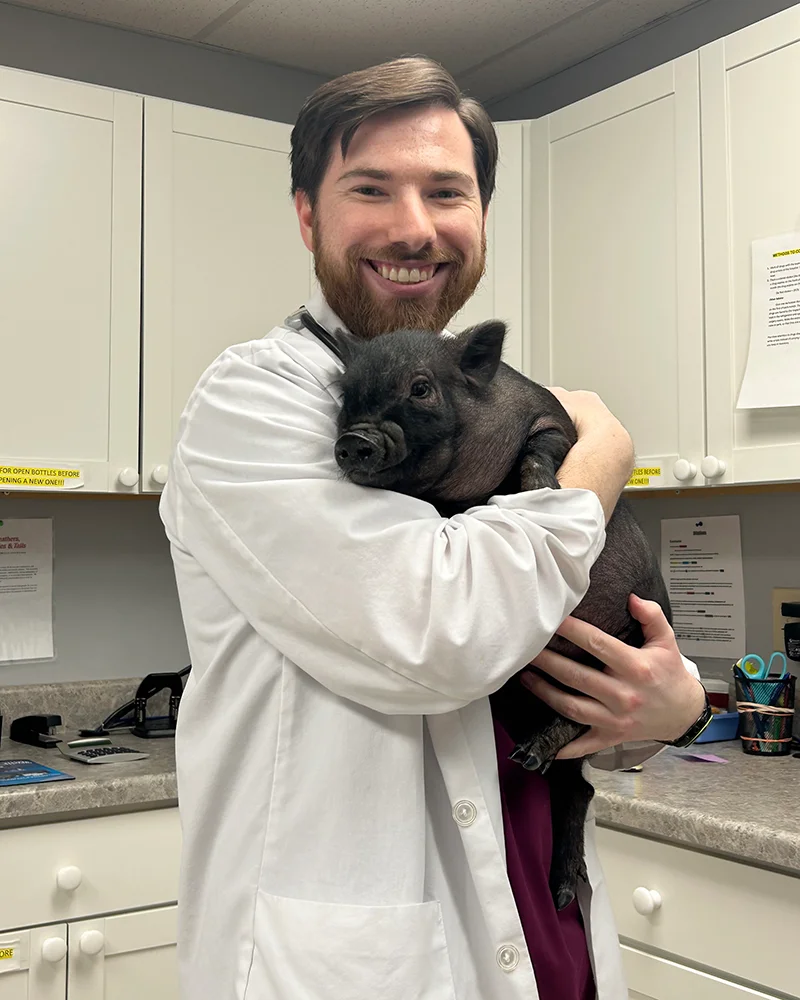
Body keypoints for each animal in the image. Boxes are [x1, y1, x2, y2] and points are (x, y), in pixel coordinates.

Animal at [332, 318, 668, 908]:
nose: (355, 440)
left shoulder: (552, 420)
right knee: (576, 786)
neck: (465, 483)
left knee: (580, 739)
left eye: (421, 388)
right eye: (346, 395)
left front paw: (541, 492)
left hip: (621, 650)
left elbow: (543, 445)